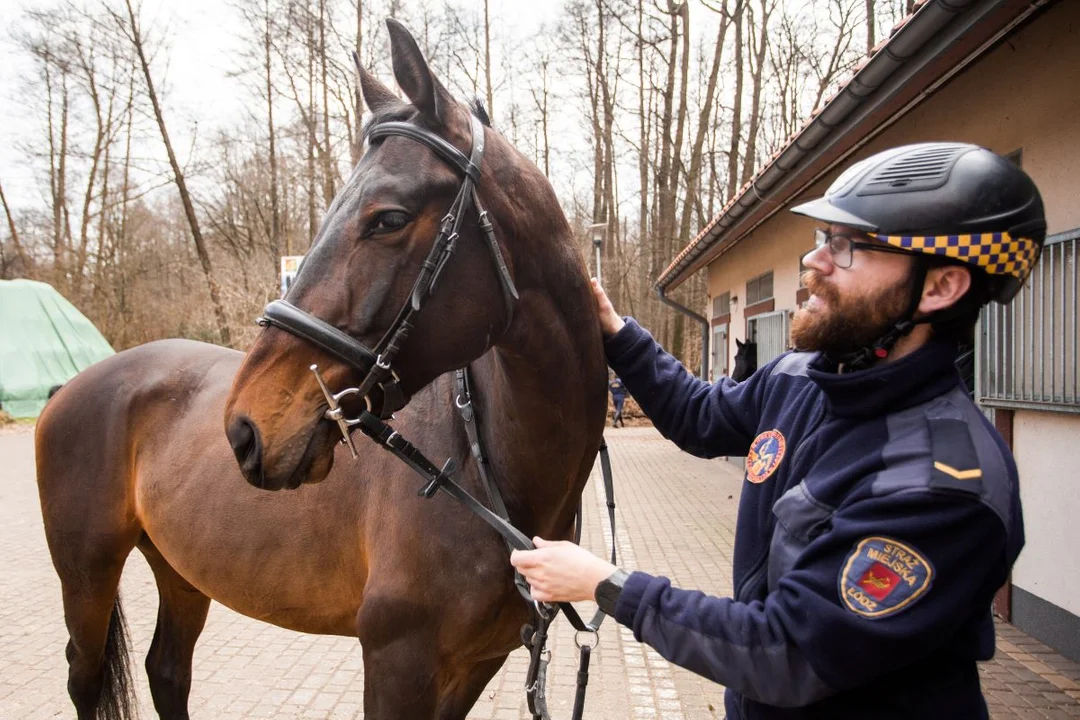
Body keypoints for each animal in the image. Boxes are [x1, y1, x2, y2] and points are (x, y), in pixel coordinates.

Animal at [35, 18, 609, 720]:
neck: (487, 462)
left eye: (388, 218)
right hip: (85, 574)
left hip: (179, 569)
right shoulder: (396, 661)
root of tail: (73, 386)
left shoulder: (477, 664)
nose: (245, 429)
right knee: (85, 677)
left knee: (167, 670)